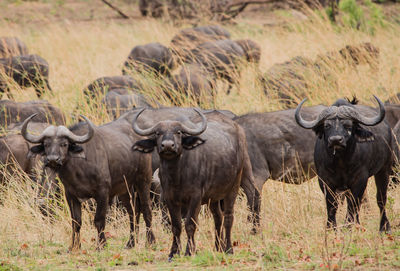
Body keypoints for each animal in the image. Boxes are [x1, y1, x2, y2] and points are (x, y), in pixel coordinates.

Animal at [20, 113, 155, 251]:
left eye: (64, 144)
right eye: (46, 144)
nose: (53, 159)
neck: (77, 169)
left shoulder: (103, 192)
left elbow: (99, 220)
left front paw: (101, 245)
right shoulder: (71, 195)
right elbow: (76, 222)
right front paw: (74, 246)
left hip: (143, 180)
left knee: (146, 209)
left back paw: (150, 241)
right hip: (125, 188)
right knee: (133, 211)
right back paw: (131, 243)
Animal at [132, 108, 256, 262]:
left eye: (178, 132)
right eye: (157, 133)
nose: (167, 145)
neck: (177, 175)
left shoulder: (195, 198)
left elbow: (190, 224)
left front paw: (189, 251)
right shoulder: (169, 198)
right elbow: (176, 226)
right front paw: (173, 252)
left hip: (233, 187)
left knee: (228, 217)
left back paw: (228, 249)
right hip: (213, 197)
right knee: (218, 217)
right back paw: (218, 247)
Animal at [296, 96, 392, 233]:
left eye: (348, 125)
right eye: (327, 125)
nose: (336, 140)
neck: (340, 162)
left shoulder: (360, 179)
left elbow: (354, 203)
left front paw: (349, 225)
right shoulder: (324, 180)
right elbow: (332, 204)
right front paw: (331, 227)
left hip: (384, 169)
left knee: (381, 198)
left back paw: (384, 227)